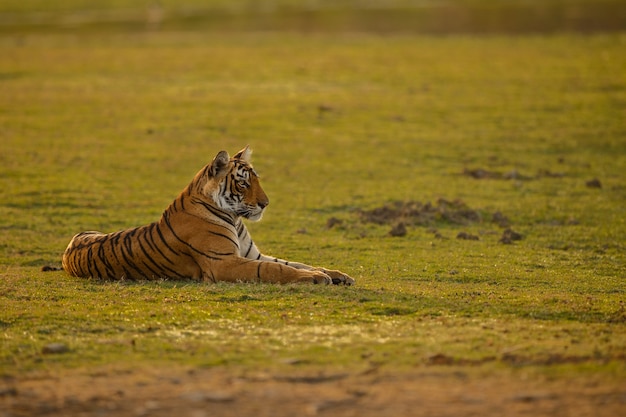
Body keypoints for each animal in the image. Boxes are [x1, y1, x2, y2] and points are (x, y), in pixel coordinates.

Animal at [63, 145, 356, 284]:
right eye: (243, 183)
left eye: (257, 179)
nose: (266, 203)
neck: (235, 218)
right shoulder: (222, 262)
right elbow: (274, 269)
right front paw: (315, 278)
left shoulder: (252, 254)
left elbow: (294, 262)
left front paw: (336, 274)